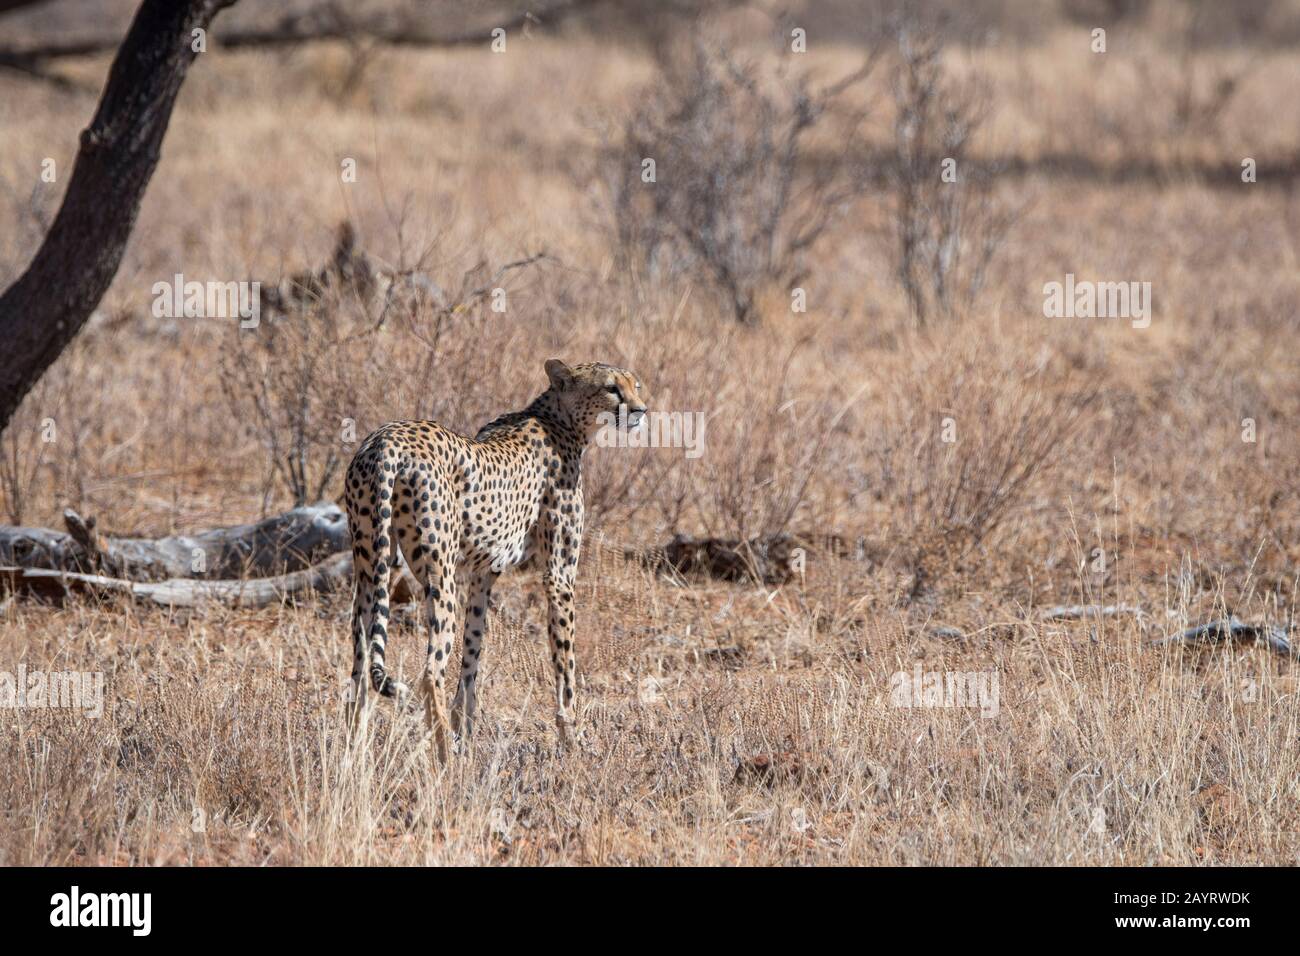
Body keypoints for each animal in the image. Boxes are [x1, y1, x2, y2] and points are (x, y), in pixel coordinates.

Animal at [342, 358, 647, 761]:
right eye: (612, 388)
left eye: (635, 385)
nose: (641, 410)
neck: (560, 419)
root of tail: (386, 439)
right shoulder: (559, 575)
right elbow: (565, 665)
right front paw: (573, 739)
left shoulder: (483, 573)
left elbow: (472, 653)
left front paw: (467, 727)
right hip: (439, 578)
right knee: (429, 672)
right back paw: (445, 756)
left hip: (371, 566)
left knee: (360, 670)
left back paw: (352, 756)